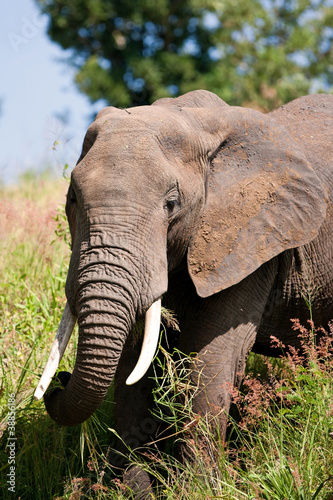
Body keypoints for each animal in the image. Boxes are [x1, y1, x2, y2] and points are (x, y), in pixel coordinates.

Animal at [35, 91, 330, 496]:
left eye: (171, 204)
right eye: (73, 199)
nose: (58, 382)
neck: (192, 119)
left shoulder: (248, 242)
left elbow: (209, 363)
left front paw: (197, 490)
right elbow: (135, 369)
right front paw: (131, 489)